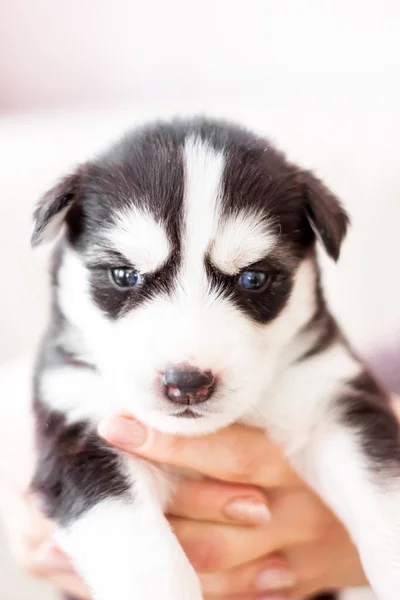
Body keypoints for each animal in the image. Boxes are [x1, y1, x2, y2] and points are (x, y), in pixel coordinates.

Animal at [31, 118, 400, 600]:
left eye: (253, 278)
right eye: (125, 275)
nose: (187, 383)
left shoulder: (332, 400)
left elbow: (382, 495)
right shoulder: (79, 430)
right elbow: (145, 557)